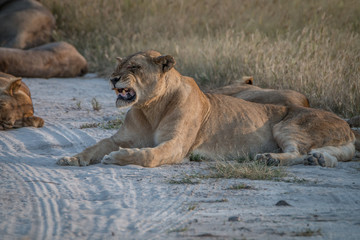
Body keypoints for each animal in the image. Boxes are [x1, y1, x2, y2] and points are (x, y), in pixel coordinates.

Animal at [57, 50, 356, 168]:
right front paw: (71, 159)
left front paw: (118, 158)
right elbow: (94, 147)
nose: (112, 79)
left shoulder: (176, 145)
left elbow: (149, 155)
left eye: (134, 67)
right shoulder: (118, 137)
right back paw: (318, 159)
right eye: (118, 66)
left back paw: (271, 158)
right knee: (327, 153)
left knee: (297, 152)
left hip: (288, 124)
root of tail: (346, 124)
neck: (150, 107)